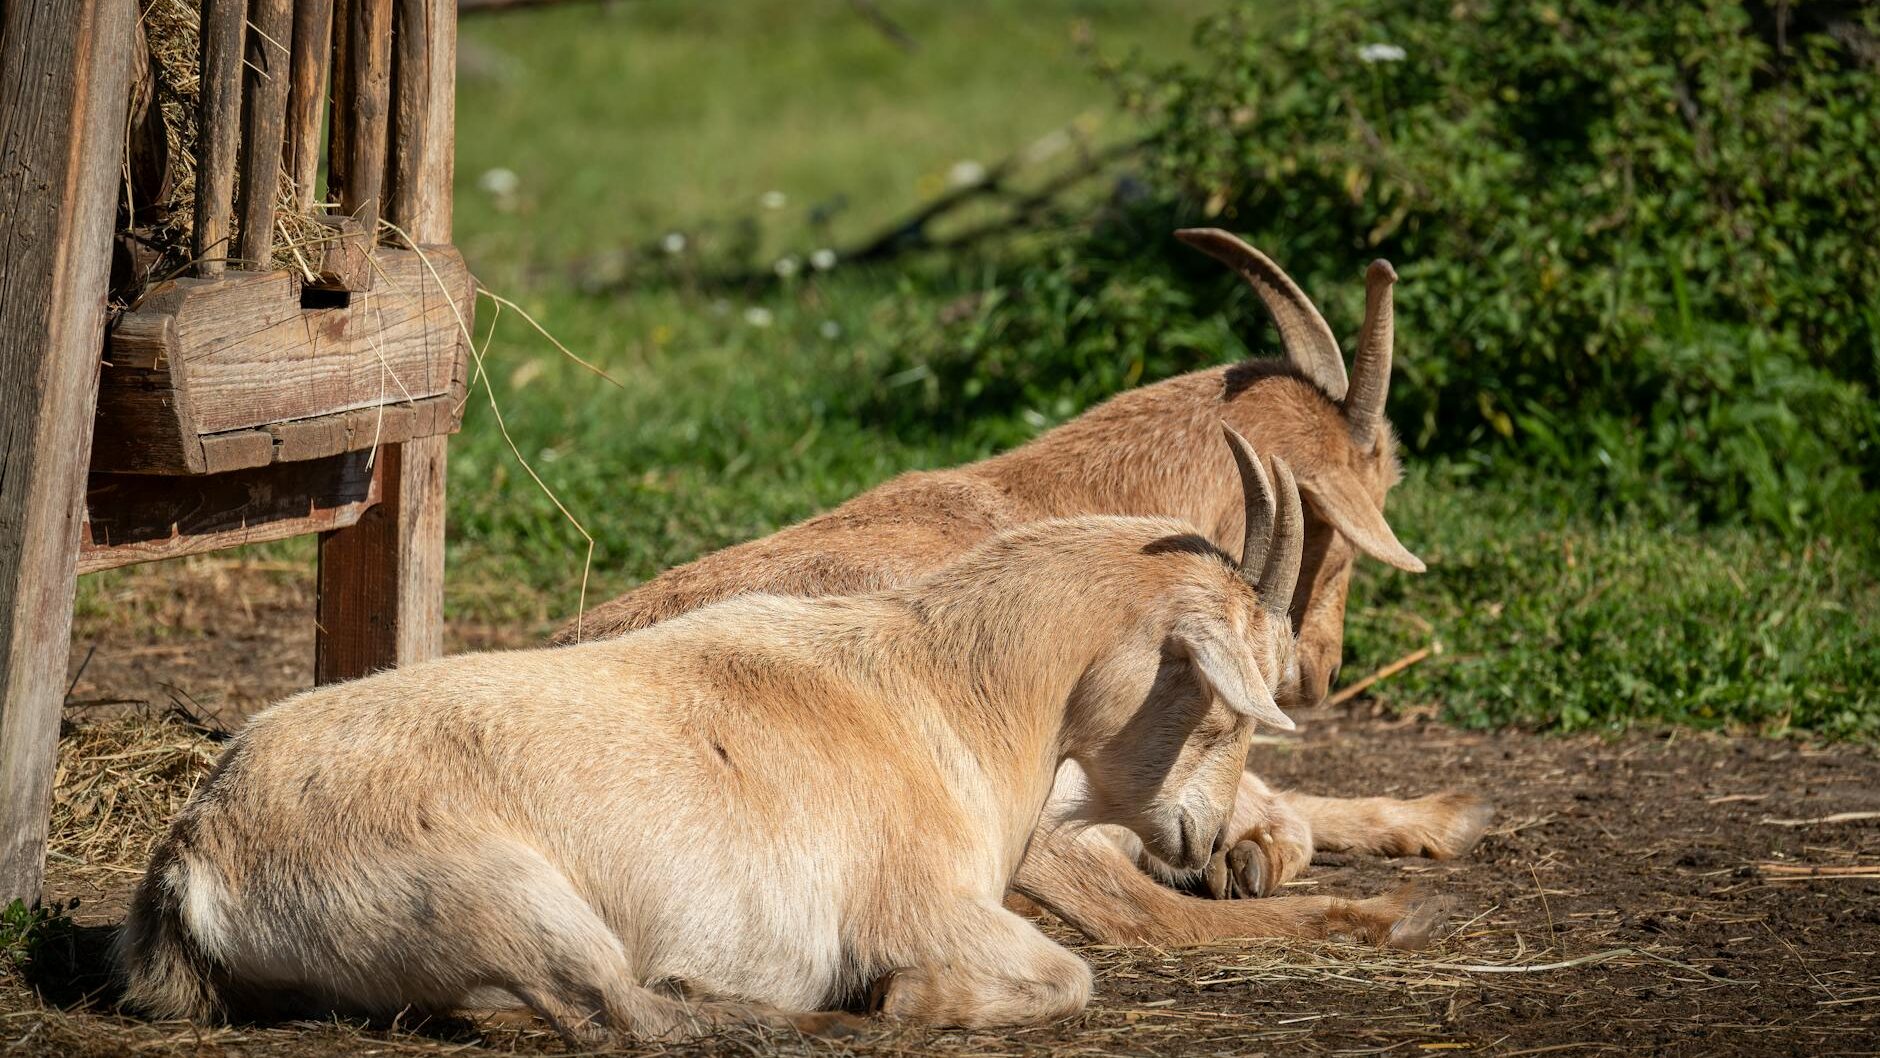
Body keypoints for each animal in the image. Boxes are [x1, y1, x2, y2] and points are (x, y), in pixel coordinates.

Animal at [118, 435, 1443, 1040]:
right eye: (1221, 700)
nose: (1207, 835)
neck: (945, 694)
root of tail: (196, 846)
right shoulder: (927, 903)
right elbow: (1068, 974)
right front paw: (905, 996)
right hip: (502, 893)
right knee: (618, 1013)